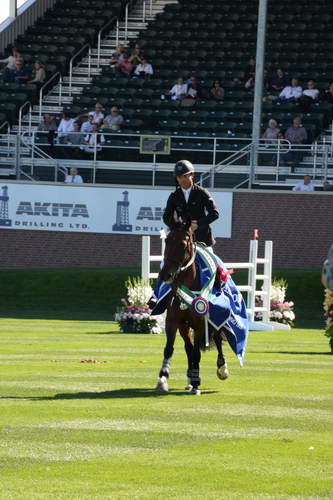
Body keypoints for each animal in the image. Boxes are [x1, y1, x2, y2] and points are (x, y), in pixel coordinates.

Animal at [155, 221, 228, 396]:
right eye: (166, 241)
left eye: (182, 244)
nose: (165, 275)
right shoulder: (173, 321)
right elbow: (169, 349)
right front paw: (163, 379)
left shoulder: (201, 323)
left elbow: (196, 353)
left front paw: (196, 384)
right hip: (184, 326)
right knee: (188, 347)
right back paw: (189, 378)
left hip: (214, 321)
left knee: (216, 339)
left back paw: (221, 369)